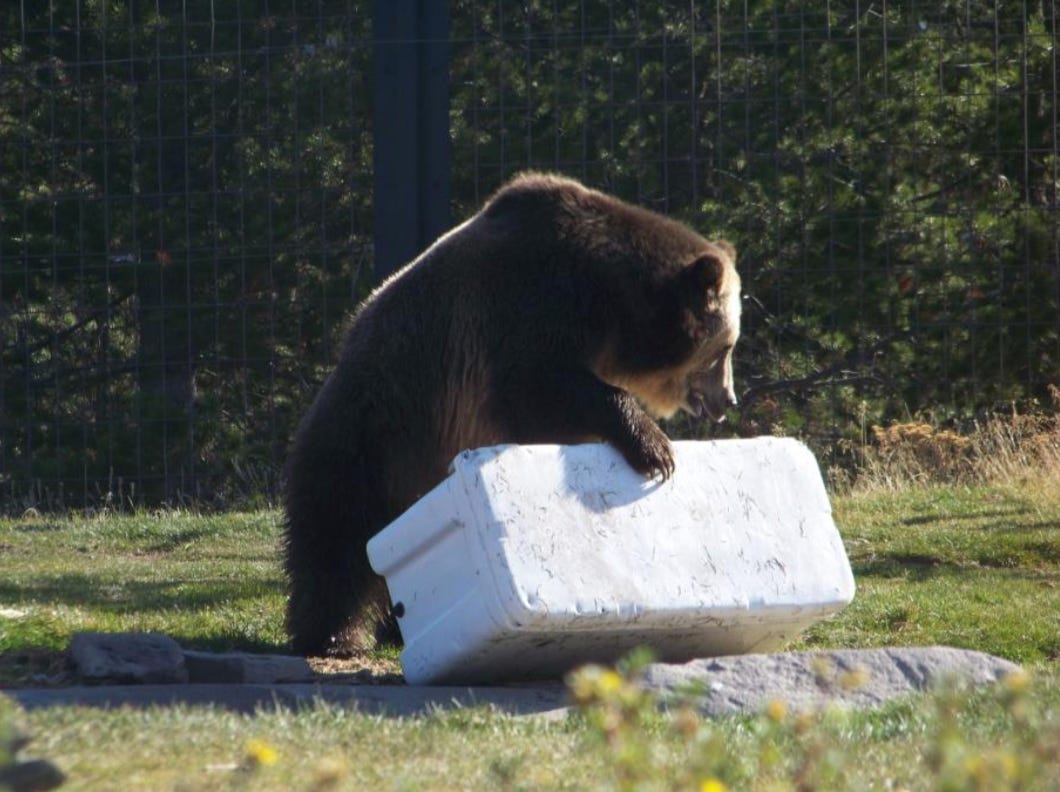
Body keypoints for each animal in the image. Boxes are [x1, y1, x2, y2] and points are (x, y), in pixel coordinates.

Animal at [286, 173, 741, 657]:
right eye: (726, 347)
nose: (728, 400)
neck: (610, 299)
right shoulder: (528, 304)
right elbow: (537, 388)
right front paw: (655, 450)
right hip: (376, 432)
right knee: (335, 534)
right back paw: (335, 636)